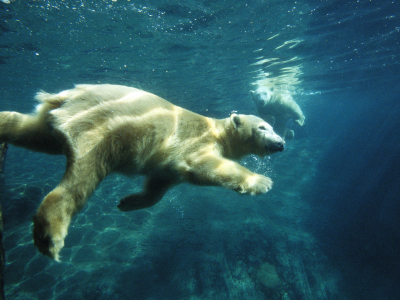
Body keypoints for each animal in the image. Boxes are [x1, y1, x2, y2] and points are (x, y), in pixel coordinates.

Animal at [0, 84, 284, 260]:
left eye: (272, 127)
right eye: (263, 127)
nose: (282, 143)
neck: (216, 130)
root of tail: (65, 96)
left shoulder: (167, 166)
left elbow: (158, 185)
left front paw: (127, 202)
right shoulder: (195, 143)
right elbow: (203, 166)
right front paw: (262, 181)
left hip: (61, 120)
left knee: (33, 133)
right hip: (100, 128)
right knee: (81, 178)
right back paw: (50, 236)